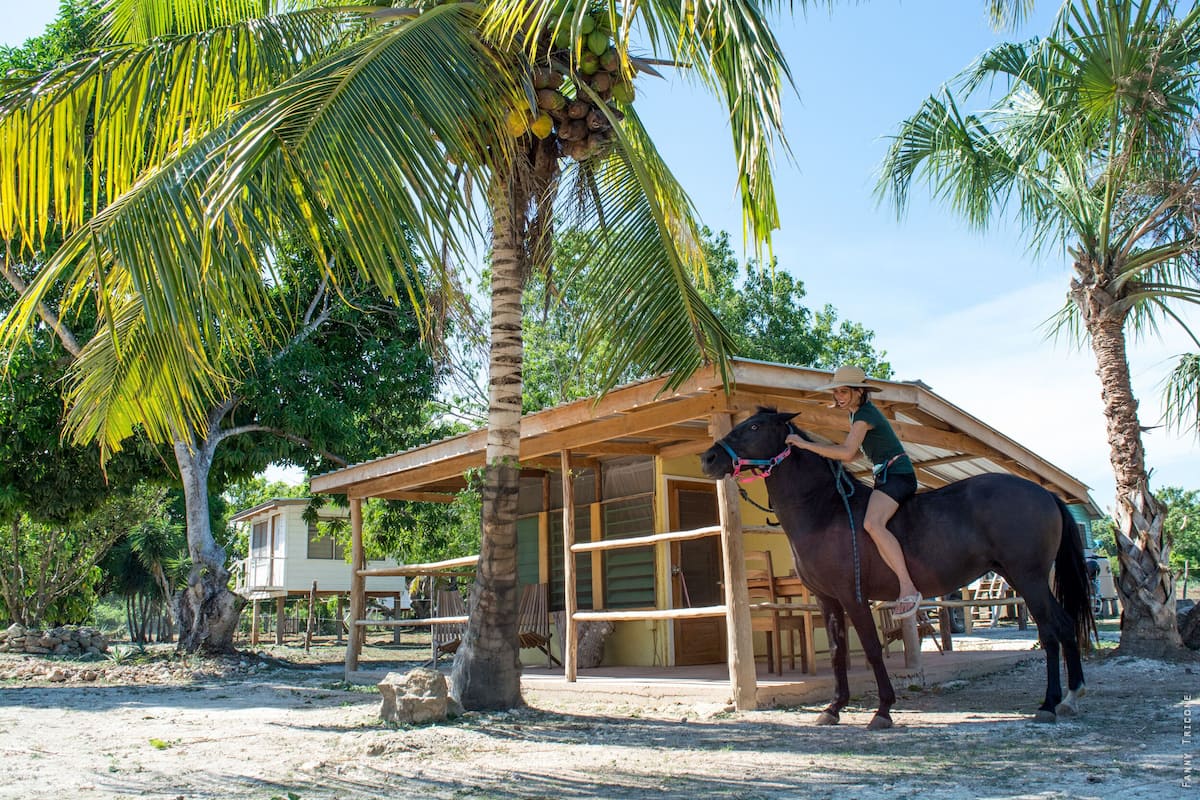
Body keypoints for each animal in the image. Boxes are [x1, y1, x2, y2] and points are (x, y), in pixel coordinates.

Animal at [700, 408, 1096, 728]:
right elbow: (837, 650)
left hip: (1029, 579)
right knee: (1062, 626)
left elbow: (872, 649)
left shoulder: (853, 597)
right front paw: (833, 708)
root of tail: (1044, 494)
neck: (824, 510)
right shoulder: (827, 600)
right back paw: (1069, 698)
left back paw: (1050, 703)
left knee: (1050, 631)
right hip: (1022, 577)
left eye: (753, 426)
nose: (708, 457)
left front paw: (883, 710)